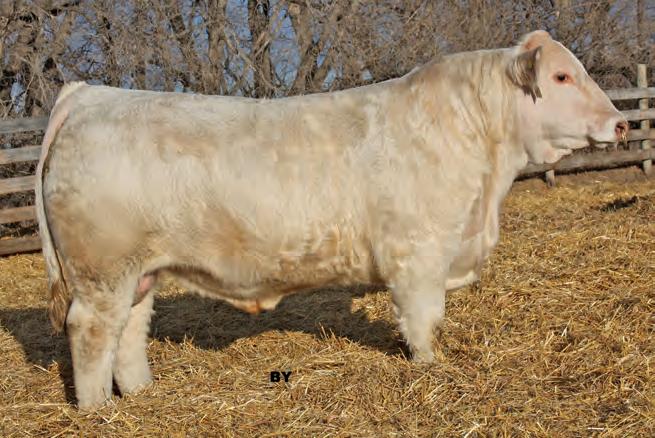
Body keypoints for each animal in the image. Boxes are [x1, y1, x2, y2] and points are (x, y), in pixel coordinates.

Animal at [35, 30, 628, 409]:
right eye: (561, 75)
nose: (621, 124)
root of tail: (89, 95)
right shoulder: (419, 255)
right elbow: (423, 320)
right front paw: (431, 368)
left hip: (139, 272)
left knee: (129, 333)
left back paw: (140, 394)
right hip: (102, 272)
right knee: (91, 334)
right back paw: (99, 412)